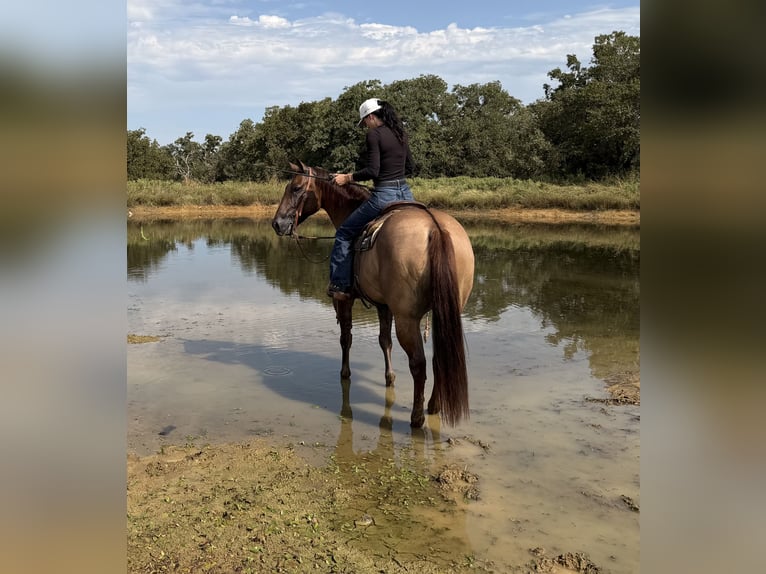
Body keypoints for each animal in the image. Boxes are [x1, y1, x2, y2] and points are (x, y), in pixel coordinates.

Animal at [271, 160, 475, 428]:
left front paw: (345, 373)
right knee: (439, 359)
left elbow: (346, 338)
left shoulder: (344, 300)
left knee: (418, 364)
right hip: (447, 312)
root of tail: (435, 229)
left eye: (295, 188)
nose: (277, 223)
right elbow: (384, 341)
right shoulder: (383, 305)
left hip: (407, 319)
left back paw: (417, 417)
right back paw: (433, 406)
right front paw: (390, 377)